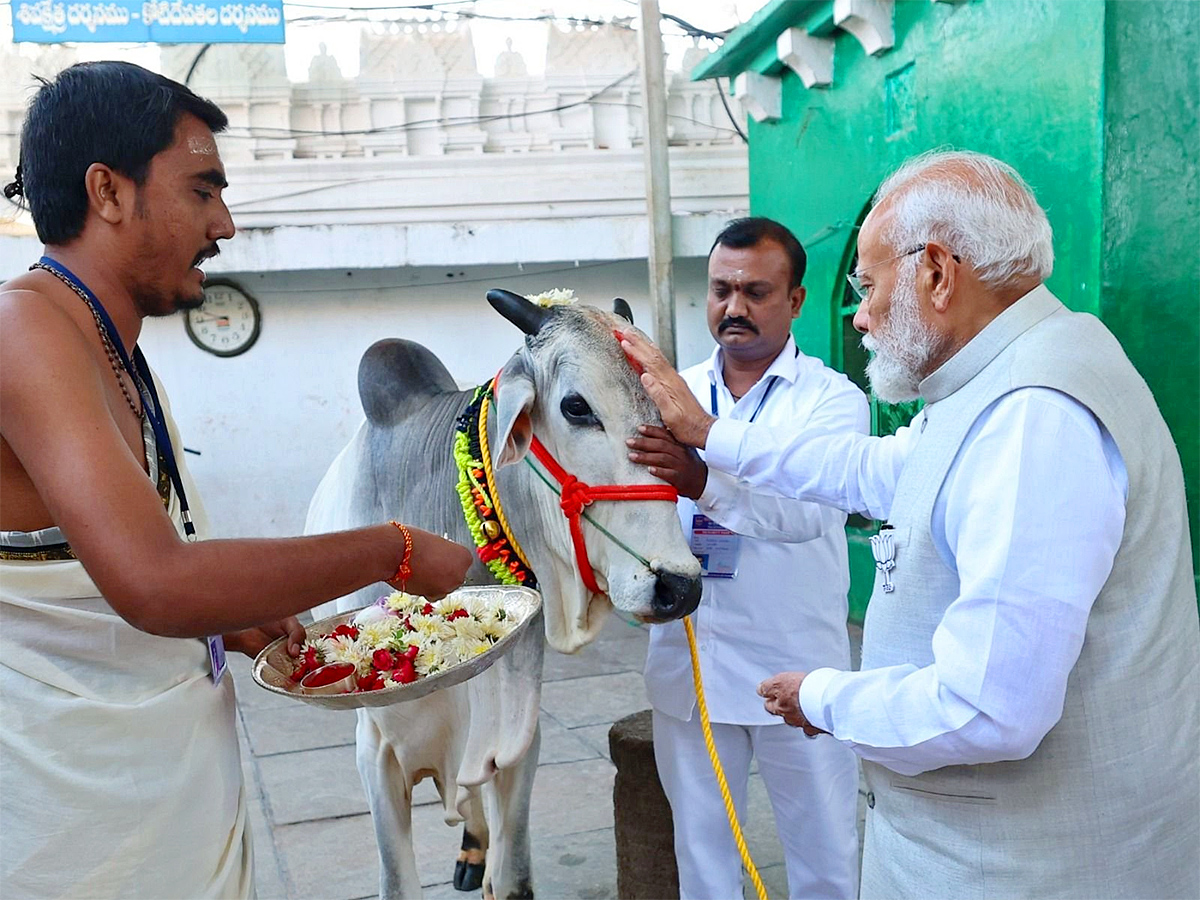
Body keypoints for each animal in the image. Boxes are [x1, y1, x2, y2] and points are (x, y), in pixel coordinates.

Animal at [304, 292, 700, 897]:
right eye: (576, 407)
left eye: (669, 409)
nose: (678, 585)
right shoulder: (374, 744)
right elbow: (397, 880)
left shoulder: (518, 725)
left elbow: (512, 874)